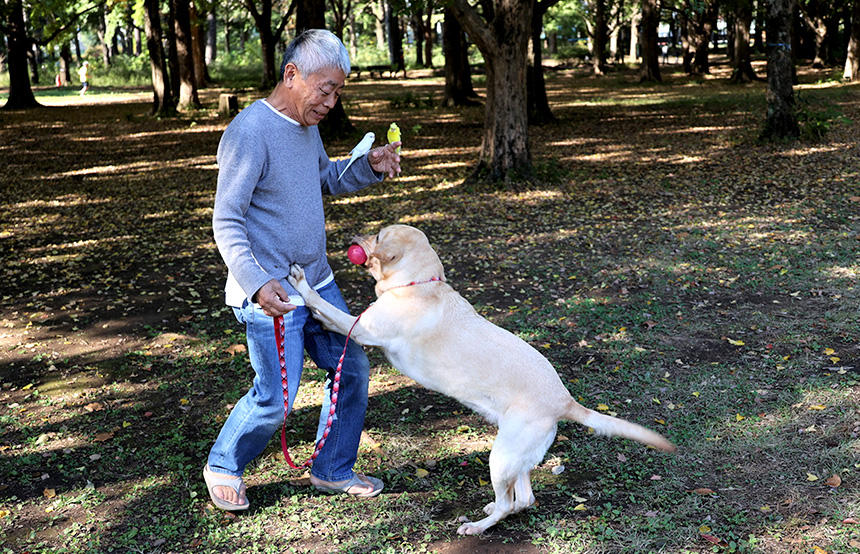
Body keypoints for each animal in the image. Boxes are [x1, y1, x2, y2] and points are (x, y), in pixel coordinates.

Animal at [290, 223, 680, 532]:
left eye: (379, 234)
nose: (352, 235)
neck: (417, 284)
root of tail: (565, 400)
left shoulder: (361, 329)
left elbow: (324, 306)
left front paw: (300, 284)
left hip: (501, 456)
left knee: (511, 503)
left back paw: (477, 527)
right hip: (515, 455)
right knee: (523, 498)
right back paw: (495, 508)